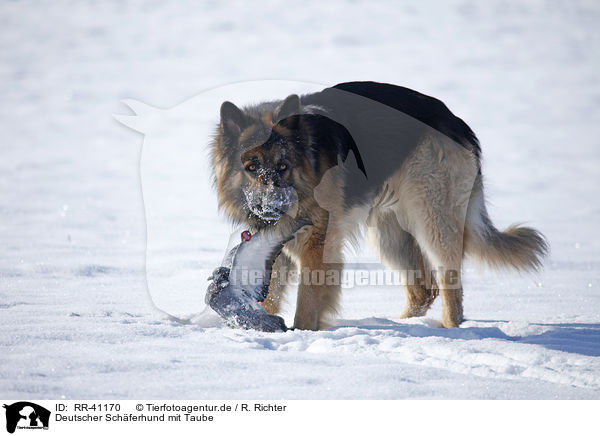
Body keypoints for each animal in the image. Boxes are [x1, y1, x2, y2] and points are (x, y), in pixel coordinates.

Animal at [212, 80, 548, 328]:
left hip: (433, 222)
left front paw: (302, 333)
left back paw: (452, 331)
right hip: (388, 235)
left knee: (449, 285)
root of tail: (456, 122)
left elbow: (307, 301)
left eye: (283, 166)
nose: (271, 207)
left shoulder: (318, 245)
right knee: (424, 291)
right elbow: (267, 294)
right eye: (251, 167)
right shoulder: (275, 247)